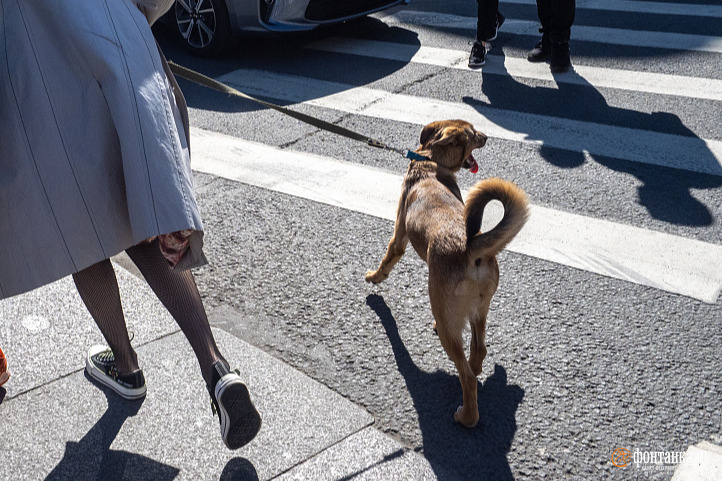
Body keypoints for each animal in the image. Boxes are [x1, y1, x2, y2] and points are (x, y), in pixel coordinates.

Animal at [366, 118, 528, 426]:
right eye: (473, 133)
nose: (487, 137)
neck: (430, 161)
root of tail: (470, 247)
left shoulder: (399, 235)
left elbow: (387, 259)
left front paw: (374, 277)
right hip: (479, 310)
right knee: (478, 350)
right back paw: (477, 366)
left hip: (445, 318)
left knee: (467, 376)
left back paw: (467, 417)